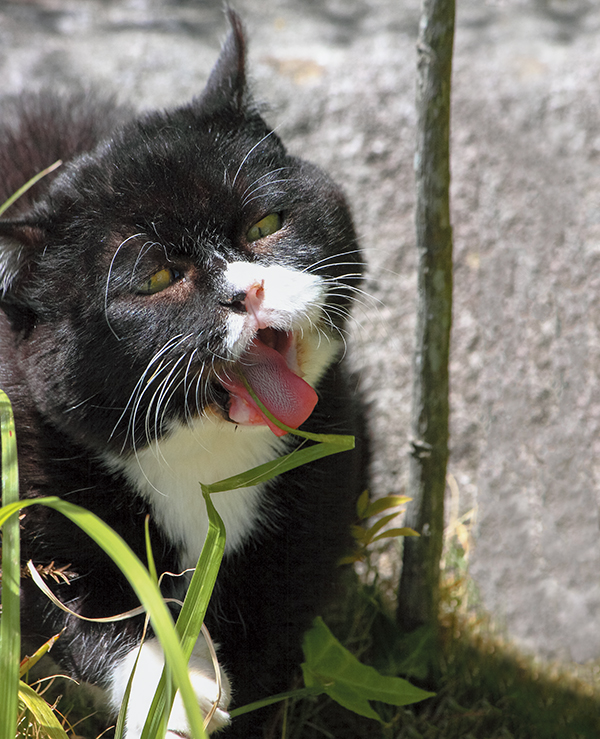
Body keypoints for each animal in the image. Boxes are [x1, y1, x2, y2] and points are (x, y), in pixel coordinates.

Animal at [0, 11, 366, 739]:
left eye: (266, 222)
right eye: (158, 278)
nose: (247, 292)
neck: (205, 457)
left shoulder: (326, 476)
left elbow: (274, 629)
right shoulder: (29, 474)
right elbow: (75, 597)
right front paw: (174, 685)